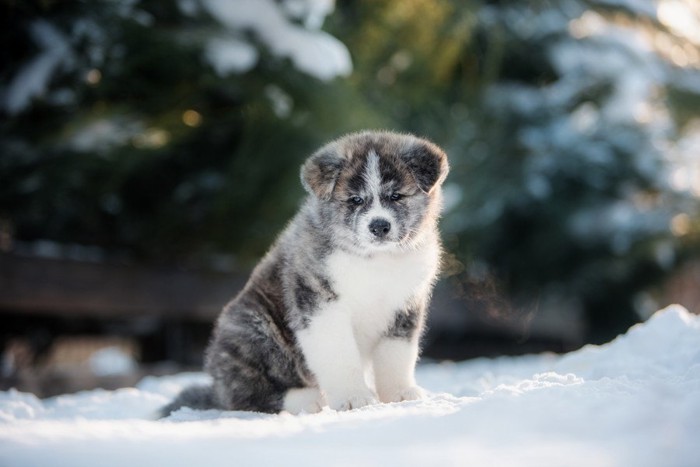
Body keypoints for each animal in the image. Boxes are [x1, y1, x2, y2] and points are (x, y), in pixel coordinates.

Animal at [162, 132, 448, 416]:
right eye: (355, 199)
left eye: (397, 196)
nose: (379, 226)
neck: (375, 260)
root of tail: (216, 385)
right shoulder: (320, 301)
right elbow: (340, 355)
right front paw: (353, 398)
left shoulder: (405, 306)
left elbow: (396, 356)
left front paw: (400, 395)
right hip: (253, 325)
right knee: (244, 394)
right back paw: (308, 400)